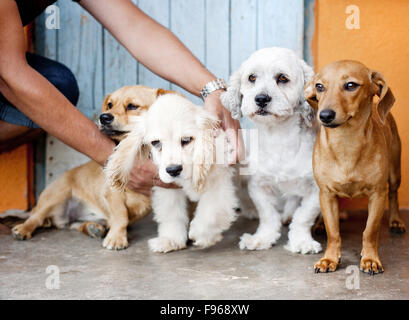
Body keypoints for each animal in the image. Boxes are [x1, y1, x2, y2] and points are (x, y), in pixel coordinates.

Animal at [105, 92, 237, 252]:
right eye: (155, 143)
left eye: (186, 140)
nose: (173, 170)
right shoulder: (167, 188)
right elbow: (172, 213)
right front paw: (170, 240)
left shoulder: (217, 184)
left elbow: (211, 213)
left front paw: (202, 235)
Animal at [222, 47, 320, 255]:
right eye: (252, 77)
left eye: (282, 78)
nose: (261, 98)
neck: (279, 138)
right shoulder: (259, 185)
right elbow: (267, 215)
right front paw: (262, 238)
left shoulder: (316, 190)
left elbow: (303, 216)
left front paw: (302, 241)